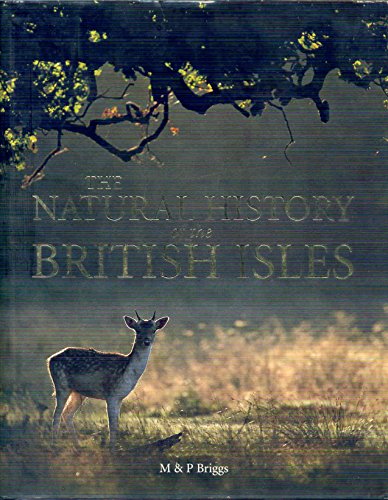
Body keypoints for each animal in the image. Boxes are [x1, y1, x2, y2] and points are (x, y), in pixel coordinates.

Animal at [47, 310, 168, 448]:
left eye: (154, 330)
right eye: (137, 330)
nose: (146, 341)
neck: (127, 372)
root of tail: (50, 359)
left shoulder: (119, 397)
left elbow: (116, 424)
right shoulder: (111, 394)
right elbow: (112, 426)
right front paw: (111, 449)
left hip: (78, 393)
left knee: (67, 413)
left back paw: (77, 446)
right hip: (61, 385)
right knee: (56, 415)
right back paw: (54, 446)